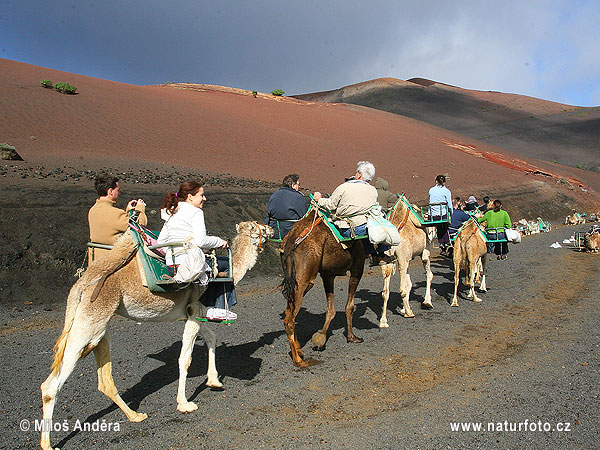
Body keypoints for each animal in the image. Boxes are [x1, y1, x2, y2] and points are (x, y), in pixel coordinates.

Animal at [41, 221, 274, 450]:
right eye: (258, 226)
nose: (271, 229)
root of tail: (81, 285)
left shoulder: (194, 316)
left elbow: (212, 337)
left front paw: (214, 381)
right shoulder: (193, 311)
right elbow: (185, 358)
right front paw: (184, 403)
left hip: (99, 330)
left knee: (104, 379)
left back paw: (135, 415)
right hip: (90, 320)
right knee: (51, 385)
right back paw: (48, 444)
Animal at [280, 209, 366, 368]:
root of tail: (290, 241)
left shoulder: (328, 274)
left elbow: (330, 309)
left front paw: (320, 338)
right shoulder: (358, 267)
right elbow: (349, 306)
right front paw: (352, 337)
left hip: (292, 277)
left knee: (289, 313)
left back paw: (299, 350)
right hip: (304, 279)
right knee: (289, 320)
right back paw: (298, 360)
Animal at [378, 195, 434, 326]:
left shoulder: (406, 258)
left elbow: (409, 284)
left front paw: (404, 308)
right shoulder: (424, 252)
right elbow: (428, 275)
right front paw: (427, 302)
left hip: (387, 262)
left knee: (385, 292)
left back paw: (383, 321)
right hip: (403, 259)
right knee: (402, 289)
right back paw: (409, 313)